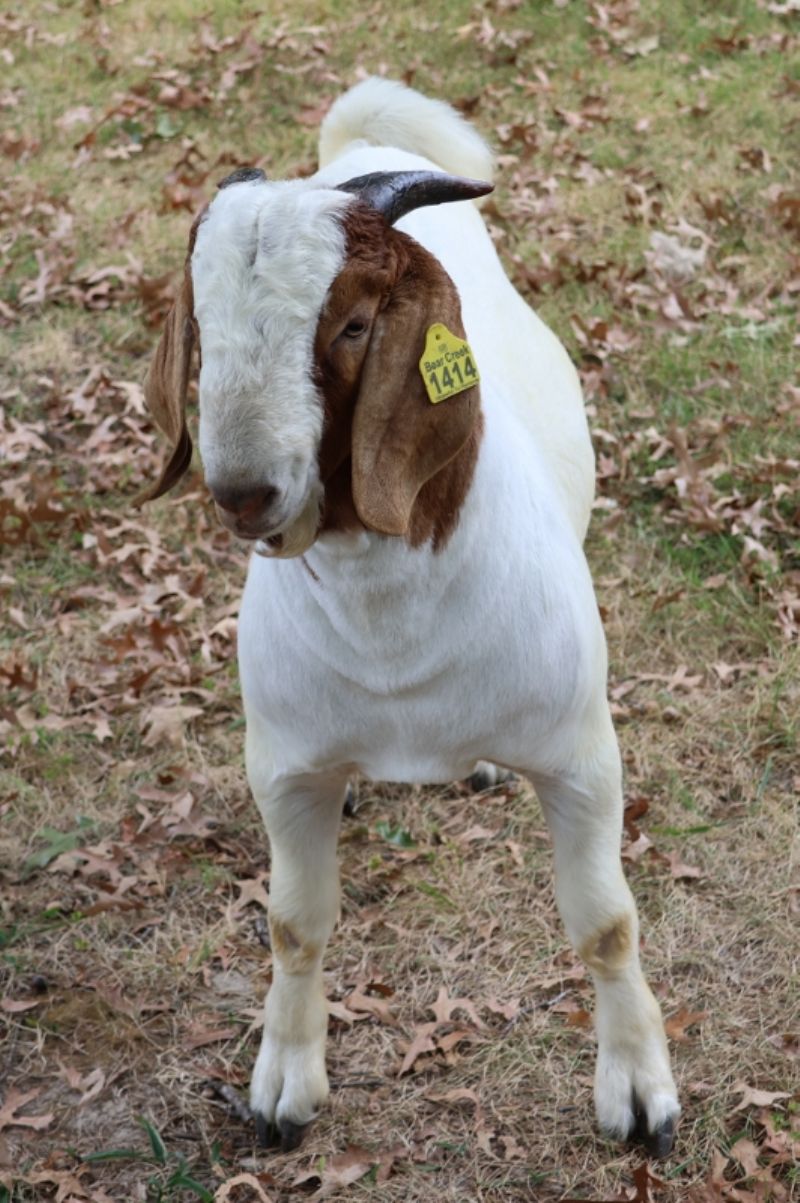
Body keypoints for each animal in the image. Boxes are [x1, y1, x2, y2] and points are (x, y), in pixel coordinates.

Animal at [142, 77, 679, 1157]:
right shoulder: (286, 772)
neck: (392, 637)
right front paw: (283, 1086)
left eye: (354, 324)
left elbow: (605, 923)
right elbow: (293, 924)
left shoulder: (581, 759)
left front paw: (640, 1096)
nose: (244, 493)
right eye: (203, 328)